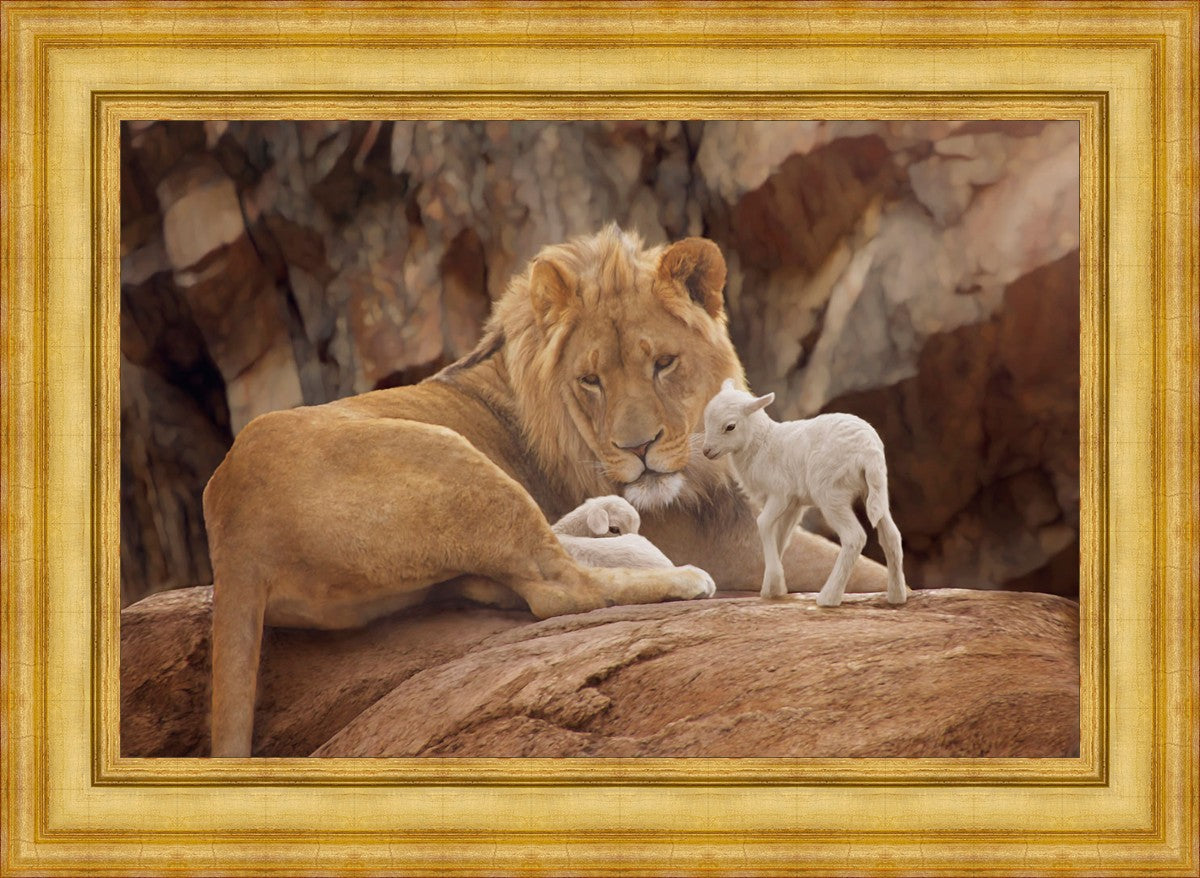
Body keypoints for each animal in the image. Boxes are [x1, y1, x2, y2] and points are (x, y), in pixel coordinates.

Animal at [700, 379, 907, 607]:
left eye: (730, 426)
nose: (706, 451)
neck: (762, 444)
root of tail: (868, 451)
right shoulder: (794, 504)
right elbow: (781, 536)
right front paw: (773, 588)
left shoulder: (780, 494)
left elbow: (763, 524)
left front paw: (774, 582)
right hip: (876, 489)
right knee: (891, 536)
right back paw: (897, 596)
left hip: (830, 492)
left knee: (854, 537)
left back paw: (829, 597)